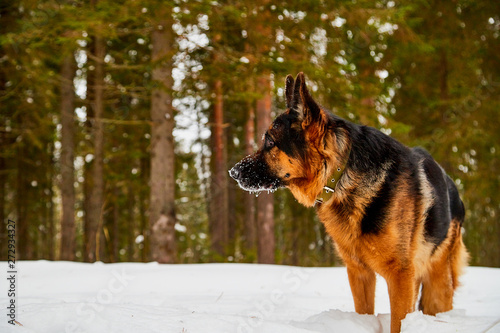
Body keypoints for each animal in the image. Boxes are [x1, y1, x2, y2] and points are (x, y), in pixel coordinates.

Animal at [230, 73, 468, 332]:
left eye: (271, 142)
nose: (233, 172)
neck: (340, 176)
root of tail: (455, 191)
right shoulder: (359, 273)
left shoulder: (400, 276)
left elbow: (398, 322)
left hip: (437, 285)